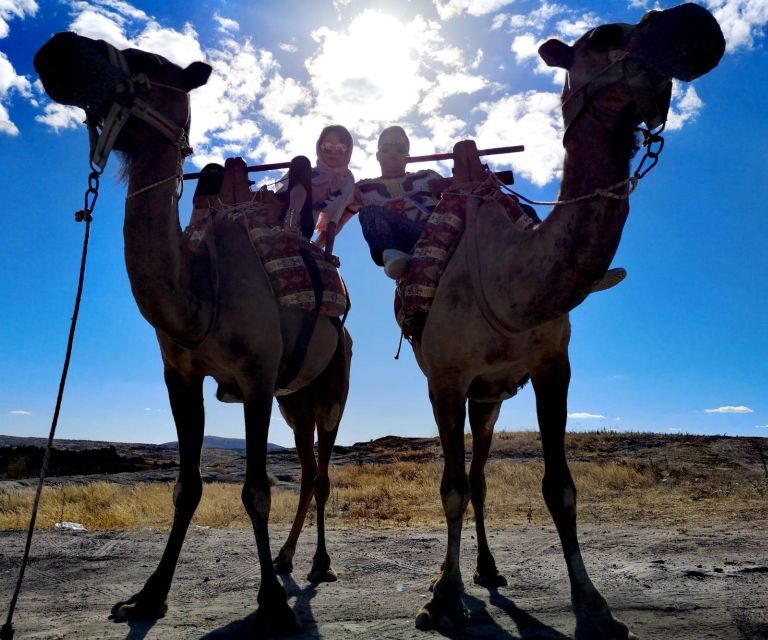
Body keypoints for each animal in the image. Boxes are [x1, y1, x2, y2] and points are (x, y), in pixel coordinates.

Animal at [34, 33, 352, 634]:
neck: (201, 290)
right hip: (294, 398)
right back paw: (286, 558)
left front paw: (272, 605)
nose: (57, 48)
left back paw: (320, 563)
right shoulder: (180, 375)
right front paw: (148, 595)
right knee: (304, 468)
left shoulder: (255, 376)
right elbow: (186, 487)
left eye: (149, 62)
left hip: (331, 388)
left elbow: (256, 491)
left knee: (321, 471)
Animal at [408, 4, 724, 638]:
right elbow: (449, 488)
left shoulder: (553, 366)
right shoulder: (447, 379)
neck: (513, 279)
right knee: (463, 480)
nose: (699, 23)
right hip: (460, 391)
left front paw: (595, 607)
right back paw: (448, 579)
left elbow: (560, 488)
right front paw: (442, 597)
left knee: (481, 477)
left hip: (490, 398)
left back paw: (489, 569)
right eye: (605, 35)